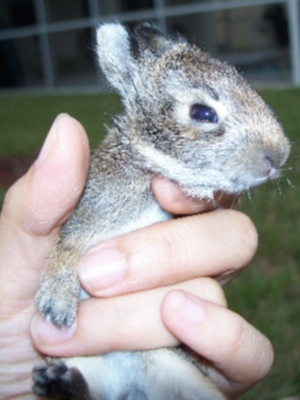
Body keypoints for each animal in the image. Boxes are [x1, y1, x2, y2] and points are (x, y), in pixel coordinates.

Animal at [32, 22, 290, 400]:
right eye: (202, 113)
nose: (278, 156)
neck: (148, 163)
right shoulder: (87, 211)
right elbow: (67, 245)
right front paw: (56, 304)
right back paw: (57, 381)